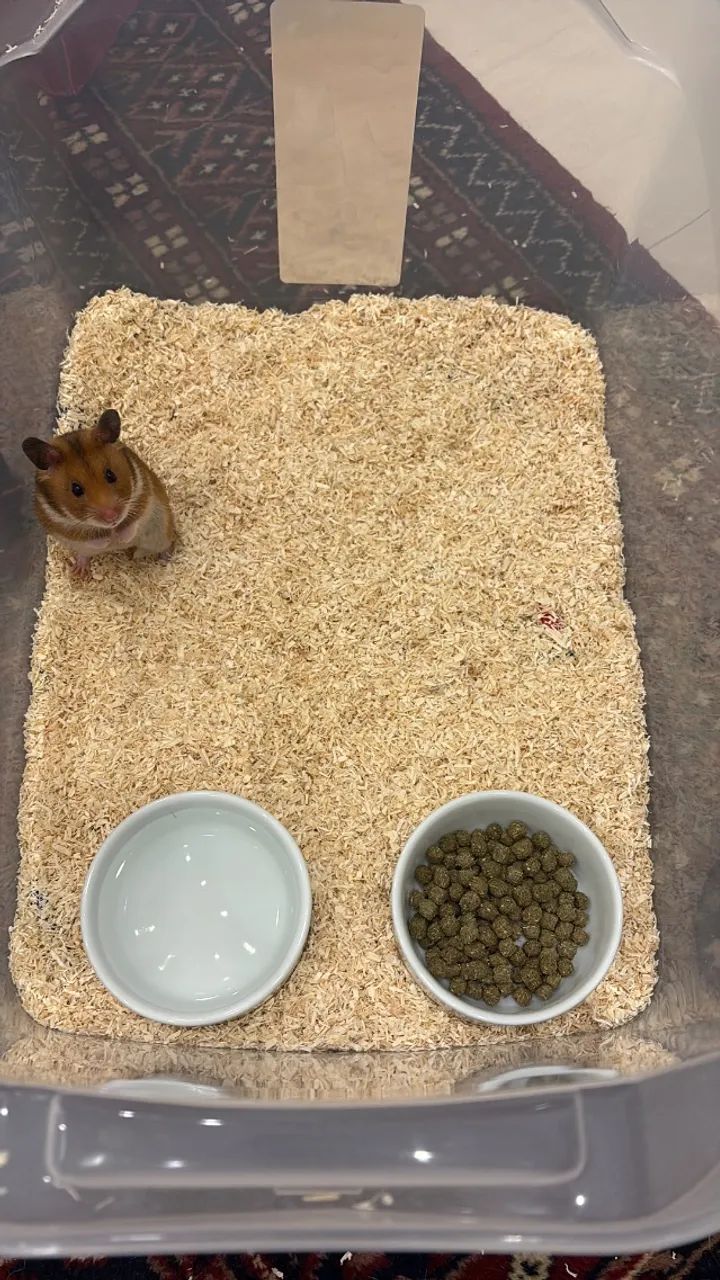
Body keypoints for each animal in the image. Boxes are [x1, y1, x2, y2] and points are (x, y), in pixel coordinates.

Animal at [22, 409, 176, 577]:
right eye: (76, 489)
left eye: (111, 475)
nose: (112, 518)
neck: (109, 529)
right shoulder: (64, 526)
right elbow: (92, 539)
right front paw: (109, 542)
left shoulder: (143, 496)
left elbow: (131, 525)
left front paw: (120, 540)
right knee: (84, 555)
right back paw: (79, 572)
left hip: (161, 532)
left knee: (167, 544)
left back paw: (165, 559)